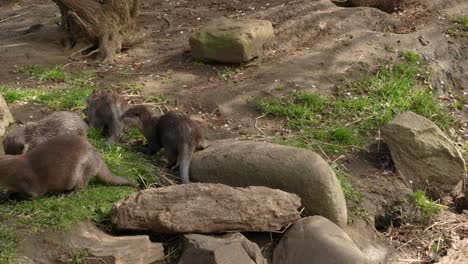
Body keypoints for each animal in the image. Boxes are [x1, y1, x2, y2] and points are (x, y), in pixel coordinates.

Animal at [0, 134, 138, 198]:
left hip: (81, 170)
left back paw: (66, 194)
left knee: (81, 186)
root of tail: (97, 158)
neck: (11, 172)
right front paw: (7, 193)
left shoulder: (29, 183)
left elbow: (35, 194)